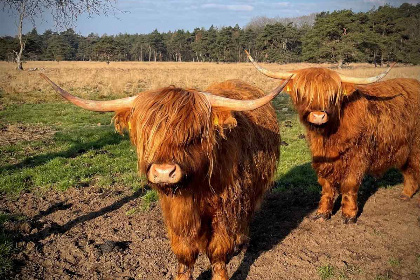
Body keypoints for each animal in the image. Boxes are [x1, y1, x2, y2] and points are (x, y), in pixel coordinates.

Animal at [39, 74, 290, 280]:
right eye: (148, 135)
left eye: (194, 135)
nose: (163, 172)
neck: (196, 187)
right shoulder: (175, 211)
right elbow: (185, 253)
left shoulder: (226, 209)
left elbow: (218, 253)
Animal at [246, 52, 420, 223]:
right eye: (303, 93)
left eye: (332, 95)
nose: (318, 116)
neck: (329, 135)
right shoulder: (322, 157)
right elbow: (326, 185)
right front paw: (322, 213)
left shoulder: (358, 157)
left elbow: (349, 185)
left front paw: (349, 215)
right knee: (409, 170)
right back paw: (405, 195)